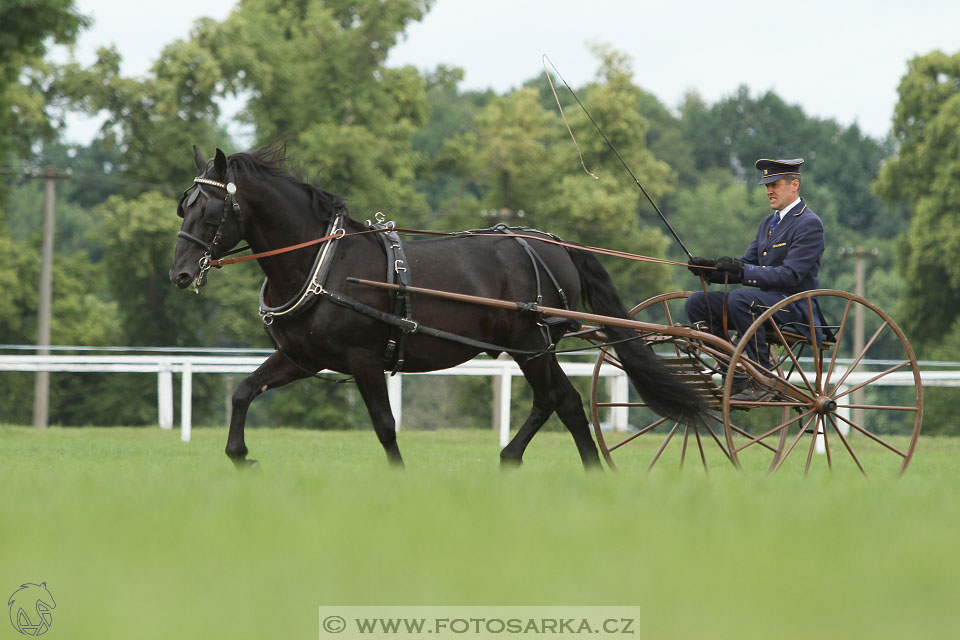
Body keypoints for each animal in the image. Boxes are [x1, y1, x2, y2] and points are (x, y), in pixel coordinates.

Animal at [169, 148, 708, 468]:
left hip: (531, 344)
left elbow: (385, 426)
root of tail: (553, 244)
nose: (179, 274)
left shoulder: (364, 360)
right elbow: (243, 391)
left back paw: (533, 460)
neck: (322, 264)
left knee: (558, 400)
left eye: (210, 209)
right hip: (532, 347)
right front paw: (239, 455)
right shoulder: (302, 358)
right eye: (184, 205)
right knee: (564, 403)